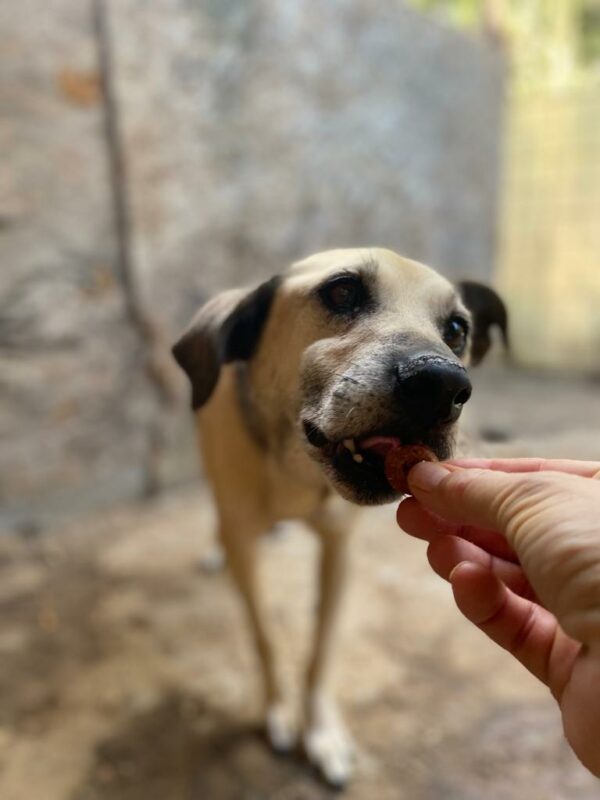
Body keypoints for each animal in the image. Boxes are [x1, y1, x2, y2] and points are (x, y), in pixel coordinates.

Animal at [172, 250, 506, 788]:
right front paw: (278, 710)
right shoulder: (246, 546)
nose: (442, 384)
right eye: (342, 291)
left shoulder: (337, 552)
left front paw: (321, 732)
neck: (297, 468)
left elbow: (320, 652)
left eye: (456, 328)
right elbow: (265, 636)